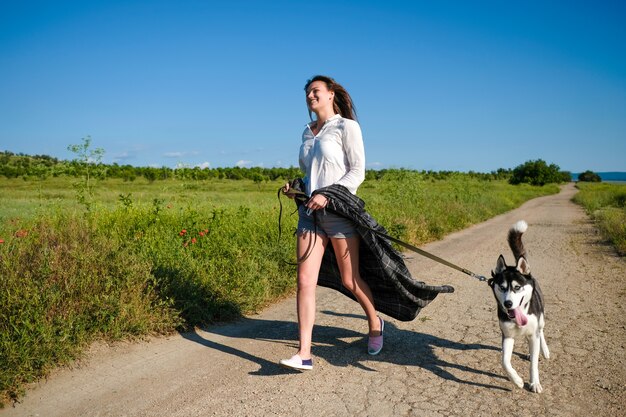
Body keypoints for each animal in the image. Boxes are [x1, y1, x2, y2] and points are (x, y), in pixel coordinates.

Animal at [486, 219, 548, 392]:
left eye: (517, 287)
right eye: (502, 287)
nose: (508, 303)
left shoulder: (533, 332)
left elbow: (534, 364)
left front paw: (534, 383)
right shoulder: (507, 336)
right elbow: (504, 362)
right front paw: (517, 381)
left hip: (541, 318)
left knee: (541, 331)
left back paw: (544, 350)